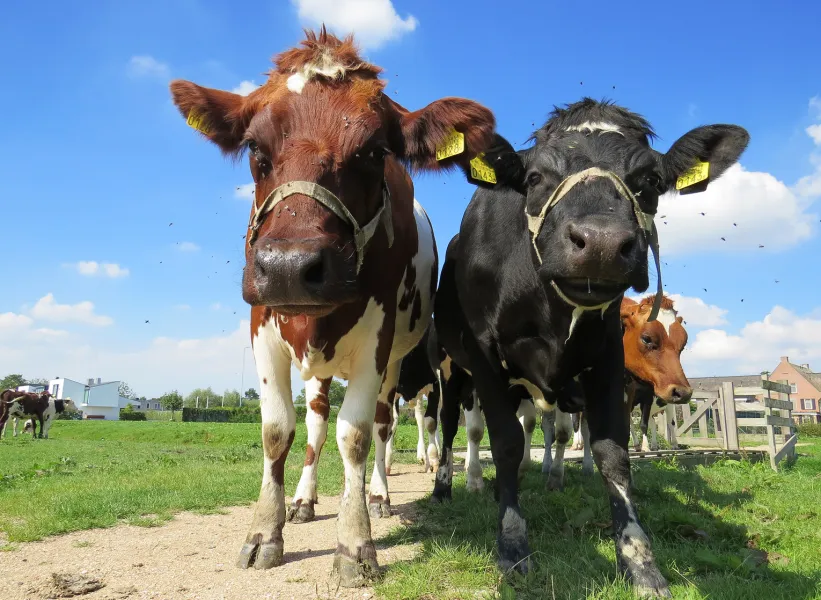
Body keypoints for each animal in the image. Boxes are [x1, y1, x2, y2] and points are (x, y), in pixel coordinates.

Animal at [169, 28, 500, 586]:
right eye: (255, 147)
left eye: (374, 151)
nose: (289, 265)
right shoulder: (263, 326)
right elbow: (279, 430)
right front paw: (266, 530)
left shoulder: (377, 342)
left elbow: (358, 436)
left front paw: (355, 541)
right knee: (318, 421)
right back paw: (304, 499)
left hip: (397, 364)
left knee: (383, 426)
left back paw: (379, 493)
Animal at [432, 97, 748, 597]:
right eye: (535, 178)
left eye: (650, 181)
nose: (600, 243)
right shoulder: (485, 358)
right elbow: (504, 441)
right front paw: (513, 546)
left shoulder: (606, 361)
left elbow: (611, 453)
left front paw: (641, 564)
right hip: (450, 367)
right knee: (450, 426)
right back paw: (448, 485)